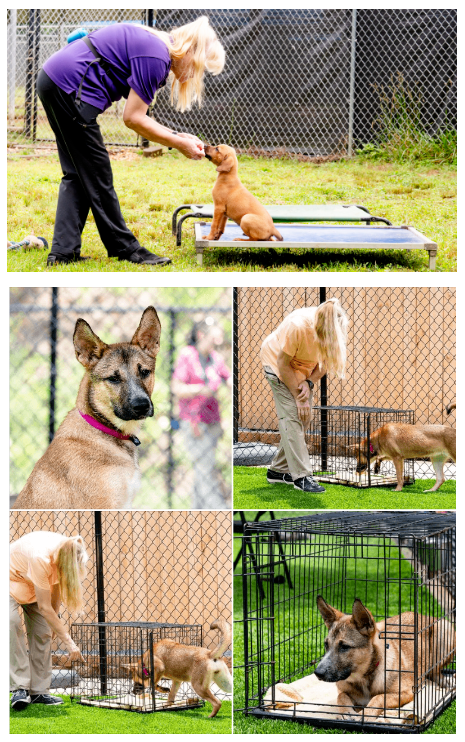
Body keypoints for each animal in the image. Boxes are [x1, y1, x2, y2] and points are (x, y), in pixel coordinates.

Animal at [316, 600, 454, 720]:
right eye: (326, 645)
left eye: (344, 647)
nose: (317, 673)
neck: (364, 677)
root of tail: (422, 615)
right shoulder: (343, 690)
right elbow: (341, 696)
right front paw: (346, 712)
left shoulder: (406, 692)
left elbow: (379, 697)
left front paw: (365, 714)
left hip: (445, 629)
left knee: (435, 670)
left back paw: (445, 682)